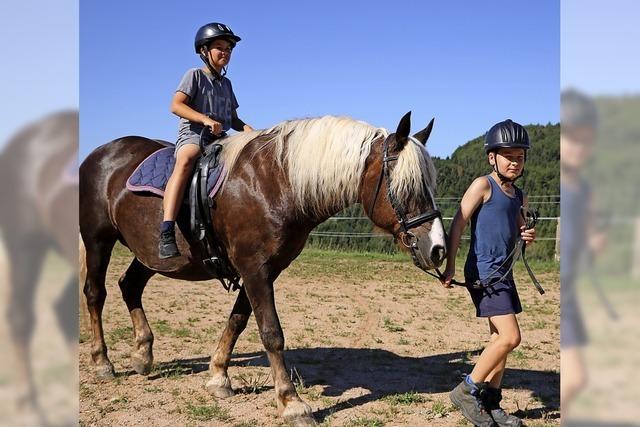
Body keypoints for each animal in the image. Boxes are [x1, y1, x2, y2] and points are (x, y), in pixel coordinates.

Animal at [79, 112, 444, 426]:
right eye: (408, 186)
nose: (438, 249)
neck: (277, 182)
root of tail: (100, 153)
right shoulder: (254, 268)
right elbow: (271, 333)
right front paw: (291, 402)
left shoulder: (266, 268)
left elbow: (238, 321)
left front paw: (219, 376)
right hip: (98, 240)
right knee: (96, 294)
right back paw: (102, 362)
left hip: (150, 254)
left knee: (130, 285)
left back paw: (142, 355)